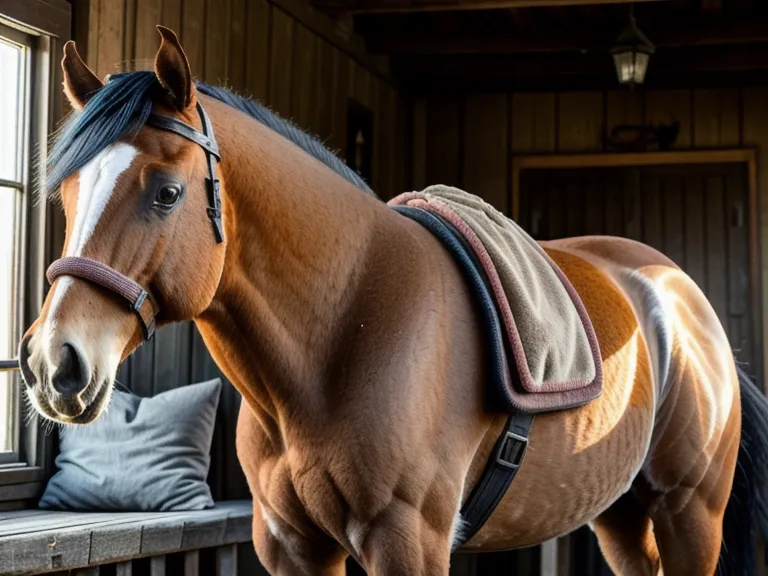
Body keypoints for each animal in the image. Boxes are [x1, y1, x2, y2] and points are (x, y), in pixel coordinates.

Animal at [18, 25, 768, 575]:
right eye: (66, 197)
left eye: (167, 193)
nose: (55, 364)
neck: (344, 331)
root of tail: (679, 296)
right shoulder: (291, 548)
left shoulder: (407, 541)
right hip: (623, 515)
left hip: (688, 512)